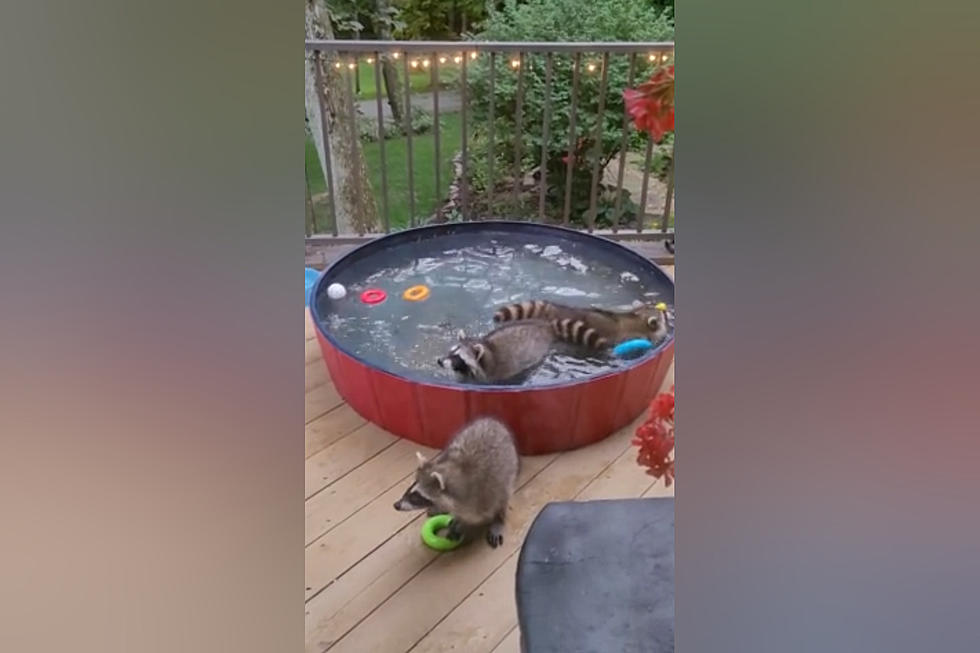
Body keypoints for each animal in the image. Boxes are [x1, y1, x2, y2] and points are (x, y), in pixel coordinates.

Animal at [394, 418, 524, 544]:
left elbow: (484, 513)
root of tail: (494, 422)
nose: (396, 505)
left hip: (508, 471)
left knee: (504, 497)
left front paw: (465, 522)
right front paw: (456, 519)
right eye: (410, 488)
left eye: (416, 496)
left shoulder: (485, 495)